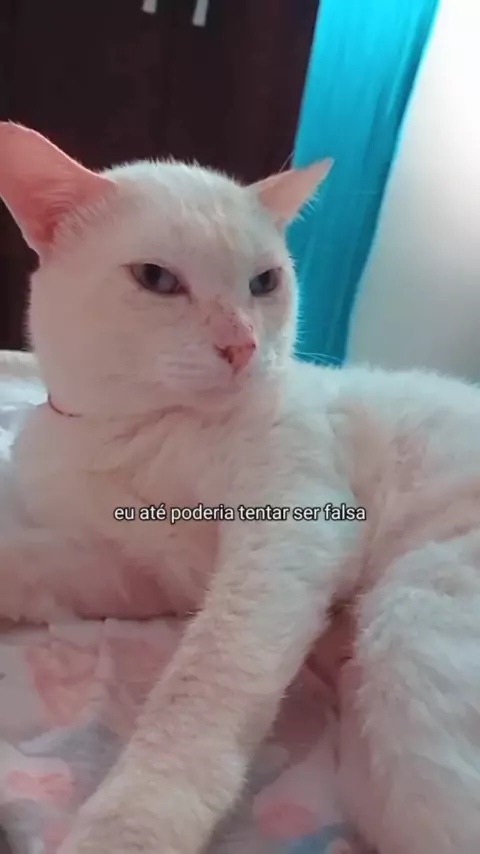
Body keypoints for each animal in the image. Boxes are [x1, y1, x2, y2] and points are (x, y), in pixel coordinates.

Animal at [1, 122, 480, 854]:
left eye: (264, 282)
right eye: (157, 280)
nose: (242, 346)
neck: (133, 432)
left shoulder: (285, 534)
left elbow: (203, 681)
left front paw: (130, 826)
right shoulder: (134, 571)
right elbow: (27, 562)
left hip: (413, 631)